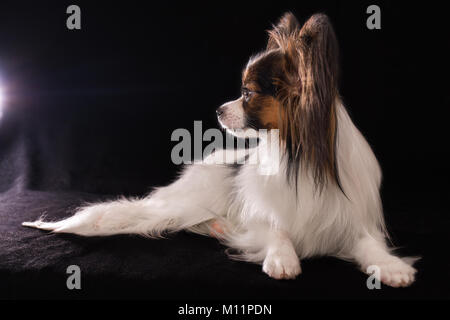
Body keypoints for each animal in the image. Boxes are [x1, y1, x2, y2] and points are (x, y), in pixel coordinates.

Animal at [22, 12, 416, 288]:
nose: (218, 110)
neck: (298, 154)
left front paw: (392, 267)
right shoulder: (260, 214)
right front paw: (282, 258)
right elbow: (274, 228)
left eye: (247, 94)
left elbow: (369, 244)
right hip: (188, 202)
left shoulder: (351, 220)